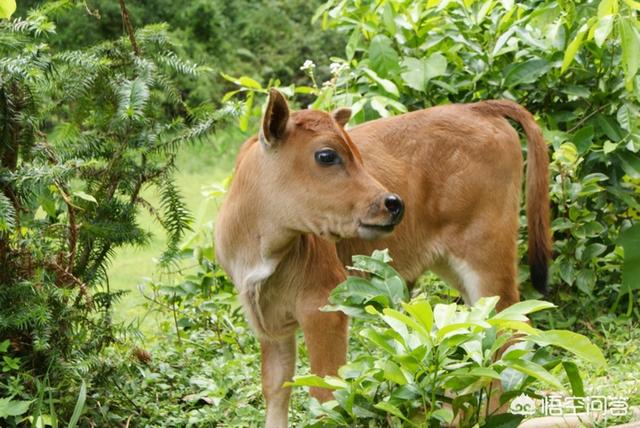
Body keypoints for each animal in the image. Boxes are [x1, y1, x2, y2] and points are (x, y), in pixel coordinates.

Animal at [215, 88, 552, 426]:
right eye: (326, 155)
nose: (393, 203)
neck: (258, 245)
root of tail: (478, 108)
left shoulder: (322, 305)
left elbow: (325, 394)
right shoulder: (268, 320)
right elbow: (276, 388)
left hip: (487, 253)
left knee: (509, 329)